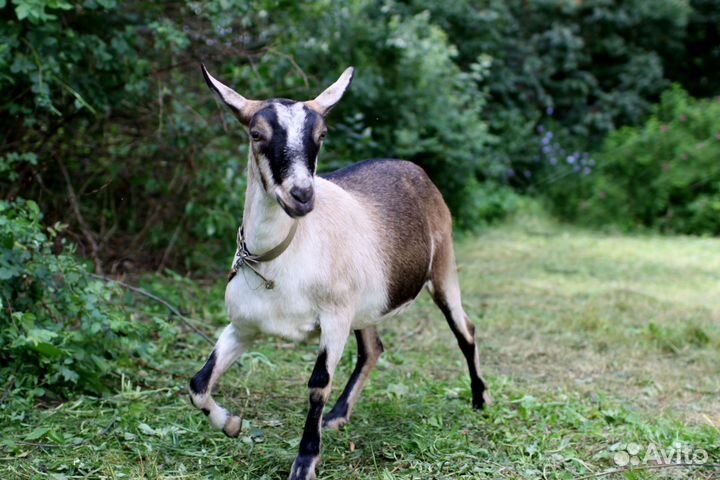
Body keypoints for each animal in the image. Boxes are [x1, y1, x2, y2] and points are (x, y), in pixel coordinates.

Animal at [189, 64, 490, 480]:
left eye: (321, 135)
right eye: (256, 134)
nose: (301, 195)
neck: (284, 256)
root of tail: (412, 168)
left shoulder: (333, 318)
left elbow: (318, 384)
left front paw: (304, 463)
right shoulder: (243, 325)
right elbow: (198, 383)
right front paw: (232, 424)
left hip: (442, 267)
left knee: (465, 329)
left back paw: (479, 399)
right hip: (366, 303)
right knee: (373, 348)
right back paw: (338, 415)